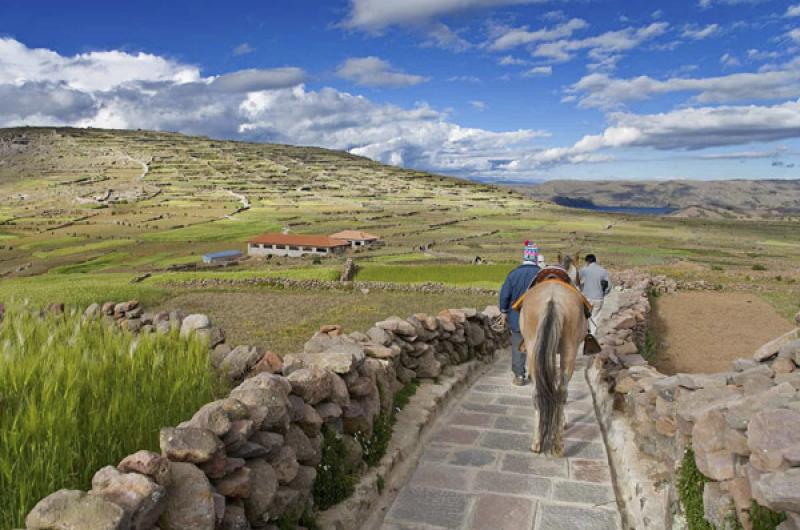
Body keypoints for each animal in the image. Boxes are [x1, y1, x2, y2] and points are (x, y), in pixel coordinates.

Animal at [520, 276, 588, 454]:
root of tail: (553, 299)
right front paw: (563, 420)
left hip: (533, 349)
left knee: (539, 391)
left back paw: (537, 442)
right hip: (569, 350)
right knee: (561, 392)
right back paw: (558, 443)